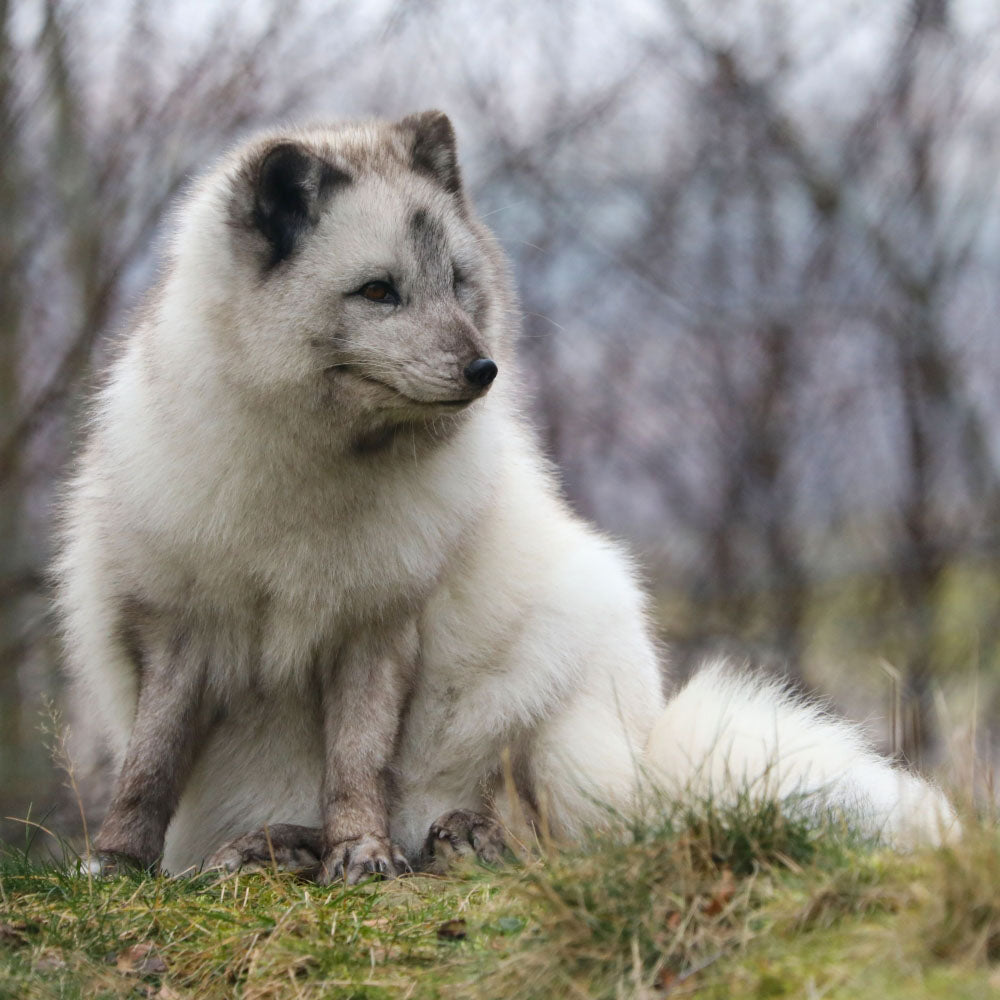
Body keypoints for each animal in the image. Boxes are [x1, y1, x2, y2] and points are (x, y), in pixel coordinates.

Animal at [55, 111, 955, 882]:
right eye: (377, 291)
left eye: (458, 282)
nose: (483, 369)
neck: (312, 474)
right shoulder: (180, 620)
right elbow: (151, 760)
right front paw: (118, 861)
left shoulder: (377, 622)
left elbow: (357, 762)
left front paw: (361, 853)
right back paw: (275, 846)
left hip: (565, 707)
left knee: (564, 835)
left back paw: (463, 839)